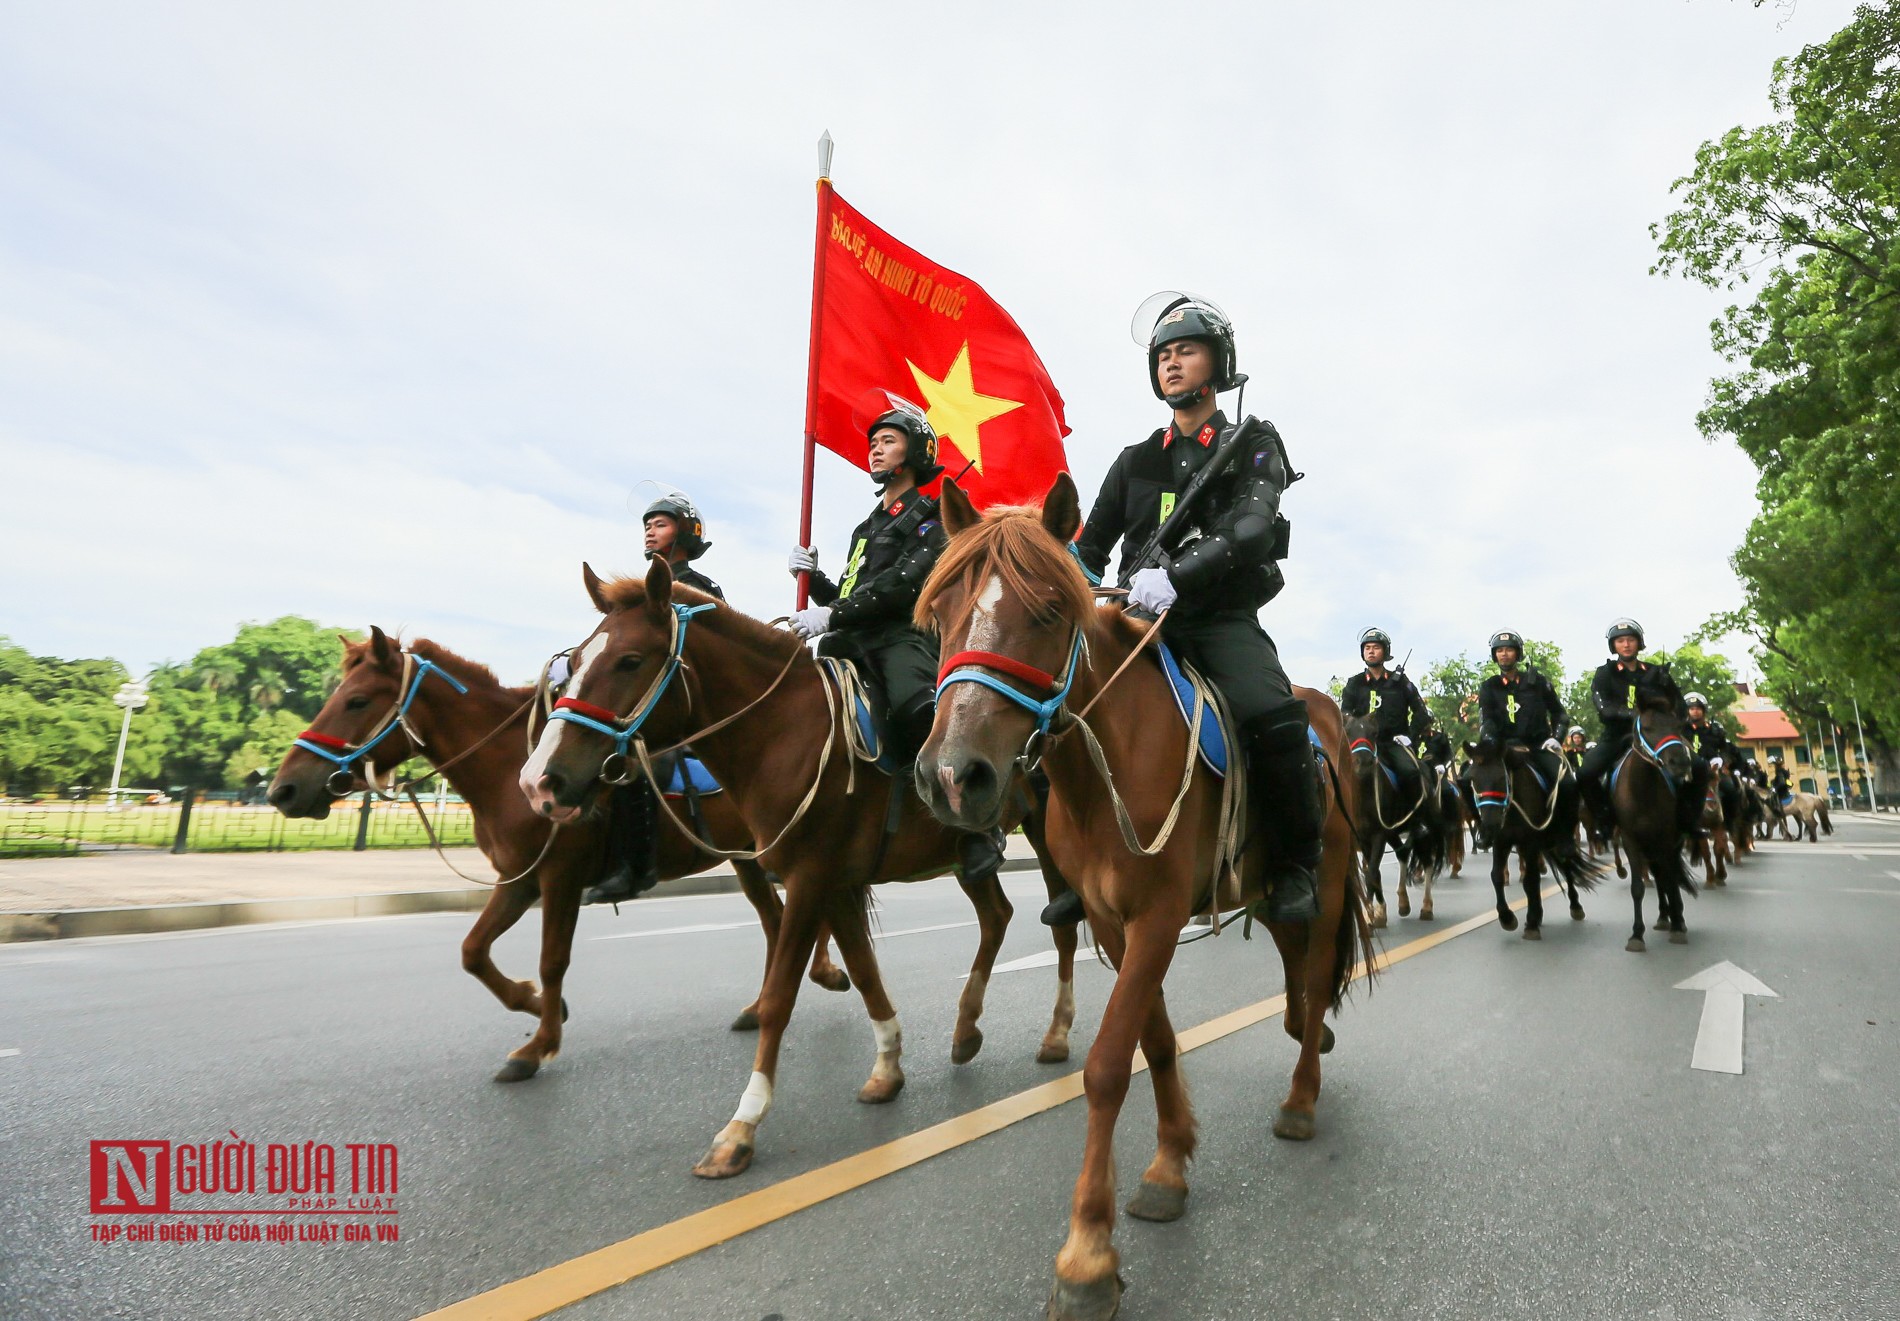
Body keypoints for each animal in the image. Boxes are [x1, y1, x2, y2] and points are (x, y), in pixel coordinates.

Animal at [267, 631, 847, 1087]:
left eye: (357, 701)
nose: (282, 790)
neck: (507, 767)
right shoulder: (516, 879)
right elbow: (472, 951)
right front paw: (531, 1002)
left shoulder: (560, 877)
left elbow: (553, 960)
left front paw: (538, 1043)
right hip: (748, 855)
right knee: (774, 918)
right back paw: (766, 1001)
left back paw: (819, 973)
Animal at [520, 562, 1086, 1186]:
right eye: (575, 662)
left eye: (629, 660)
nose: (540, 781)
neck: (782, 732)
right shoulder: (832, 881)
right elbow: (863, 971)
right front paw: (887, 1067)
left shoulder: (809, 878)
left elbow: (779, 997)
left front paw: (741, 1128)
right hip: (963, 855)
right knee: (997, 915)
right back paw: (965, 1031)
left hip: (1048, 836)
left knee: (1061, 923)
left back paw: (1057, 1032)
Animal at [915, 477, 1375, 1321]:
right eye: (941, 614)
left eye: (1048, 611)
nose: (954, 776)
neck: (1104, 762)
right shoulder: (1113, 922)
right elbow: (1153, 1042)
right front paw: (1167, 1165)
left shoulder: (1158, 915)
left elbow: (1105, 1065)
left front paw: (1087, 1254)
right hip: (1269, 892)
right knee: (1299, 970)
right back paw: (1307, 1035)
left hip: (1325, 885)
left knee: (1317, 957)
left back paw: (1301, 1097)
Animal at [1451, 745, 1603, 938]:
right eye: (1473, 780)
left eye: (1501, 778)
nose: (1490, 826)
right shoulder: (1502, 841)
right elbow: (1497, 875)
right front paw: (1507, 917)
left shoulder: (1530, 842)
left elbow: (1530, 880)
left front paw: (1531, 922)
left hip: (1557, 839)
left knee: (1565, 864)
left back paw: (1575, 906)